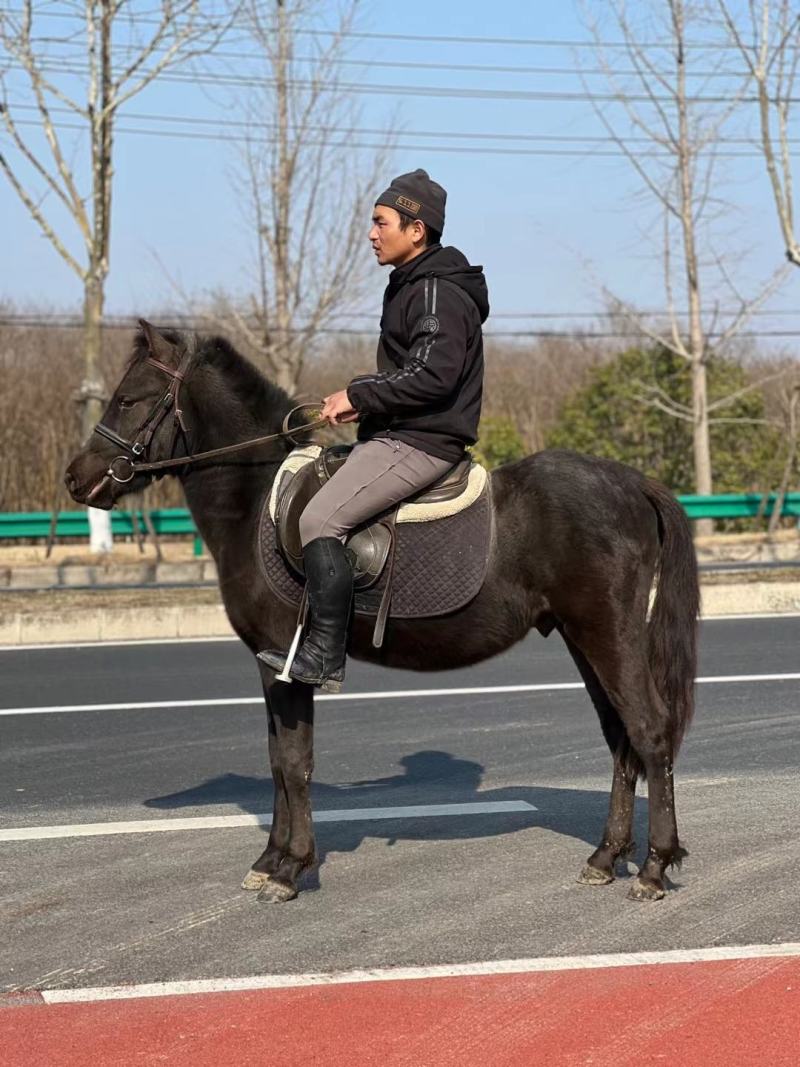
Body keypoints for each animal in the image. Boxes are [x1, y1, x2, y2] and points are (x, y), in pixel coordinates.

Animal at [65, 321, 699, 904]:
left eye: (129, 398)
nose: (76, 478)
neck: (256, 499)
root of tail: (631, 482)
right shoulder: (272, 667)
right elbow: (277, 761)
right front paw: (269, 861)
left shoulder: (286, 663)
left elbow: (294, 762)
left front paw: (290, 868)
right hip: (583, 638)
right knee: (621, 738)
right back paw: (606, 856)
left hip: (608, 636)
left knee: (649, 732)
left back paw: (653, 866)